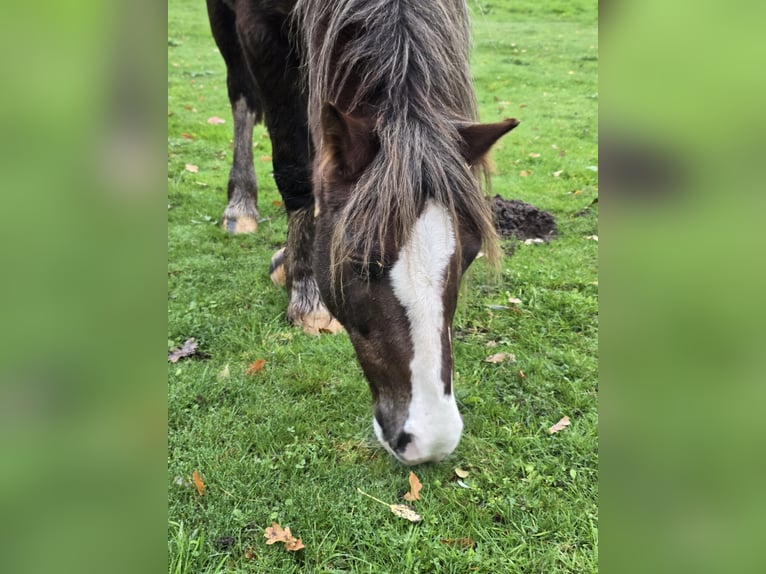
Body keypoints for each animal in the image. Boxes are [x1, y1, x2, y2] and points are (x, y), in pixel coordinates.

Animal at [206, 0, 519, 465]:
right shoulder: (258, 28)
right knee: (242, 96)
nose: (430, 439)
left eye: (469, 254)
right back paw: (241, 206)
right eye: (358, 259)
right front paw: (307, 294)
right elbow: (295, 161)